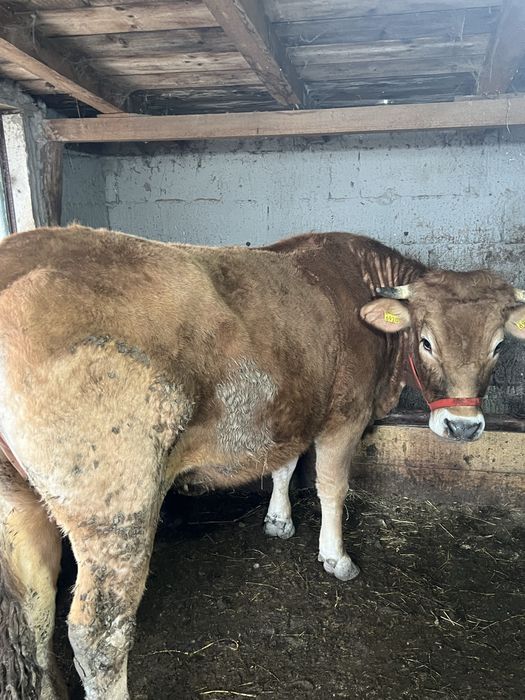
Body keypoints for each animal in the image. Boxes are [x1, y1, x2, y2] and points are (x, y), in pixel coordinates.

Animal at [0, 225, 523, 699]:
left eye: (498, 345)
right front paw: (336, 557)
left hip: (19, 504)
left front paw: (278, 521)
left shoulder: (292, 410)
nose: (463, 427)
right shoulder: (344, 417)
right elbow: (332, 486)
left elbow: (283, 465)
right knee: (99, 636)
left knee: (35, 605)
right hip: (114, 508)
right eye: (427, 341)